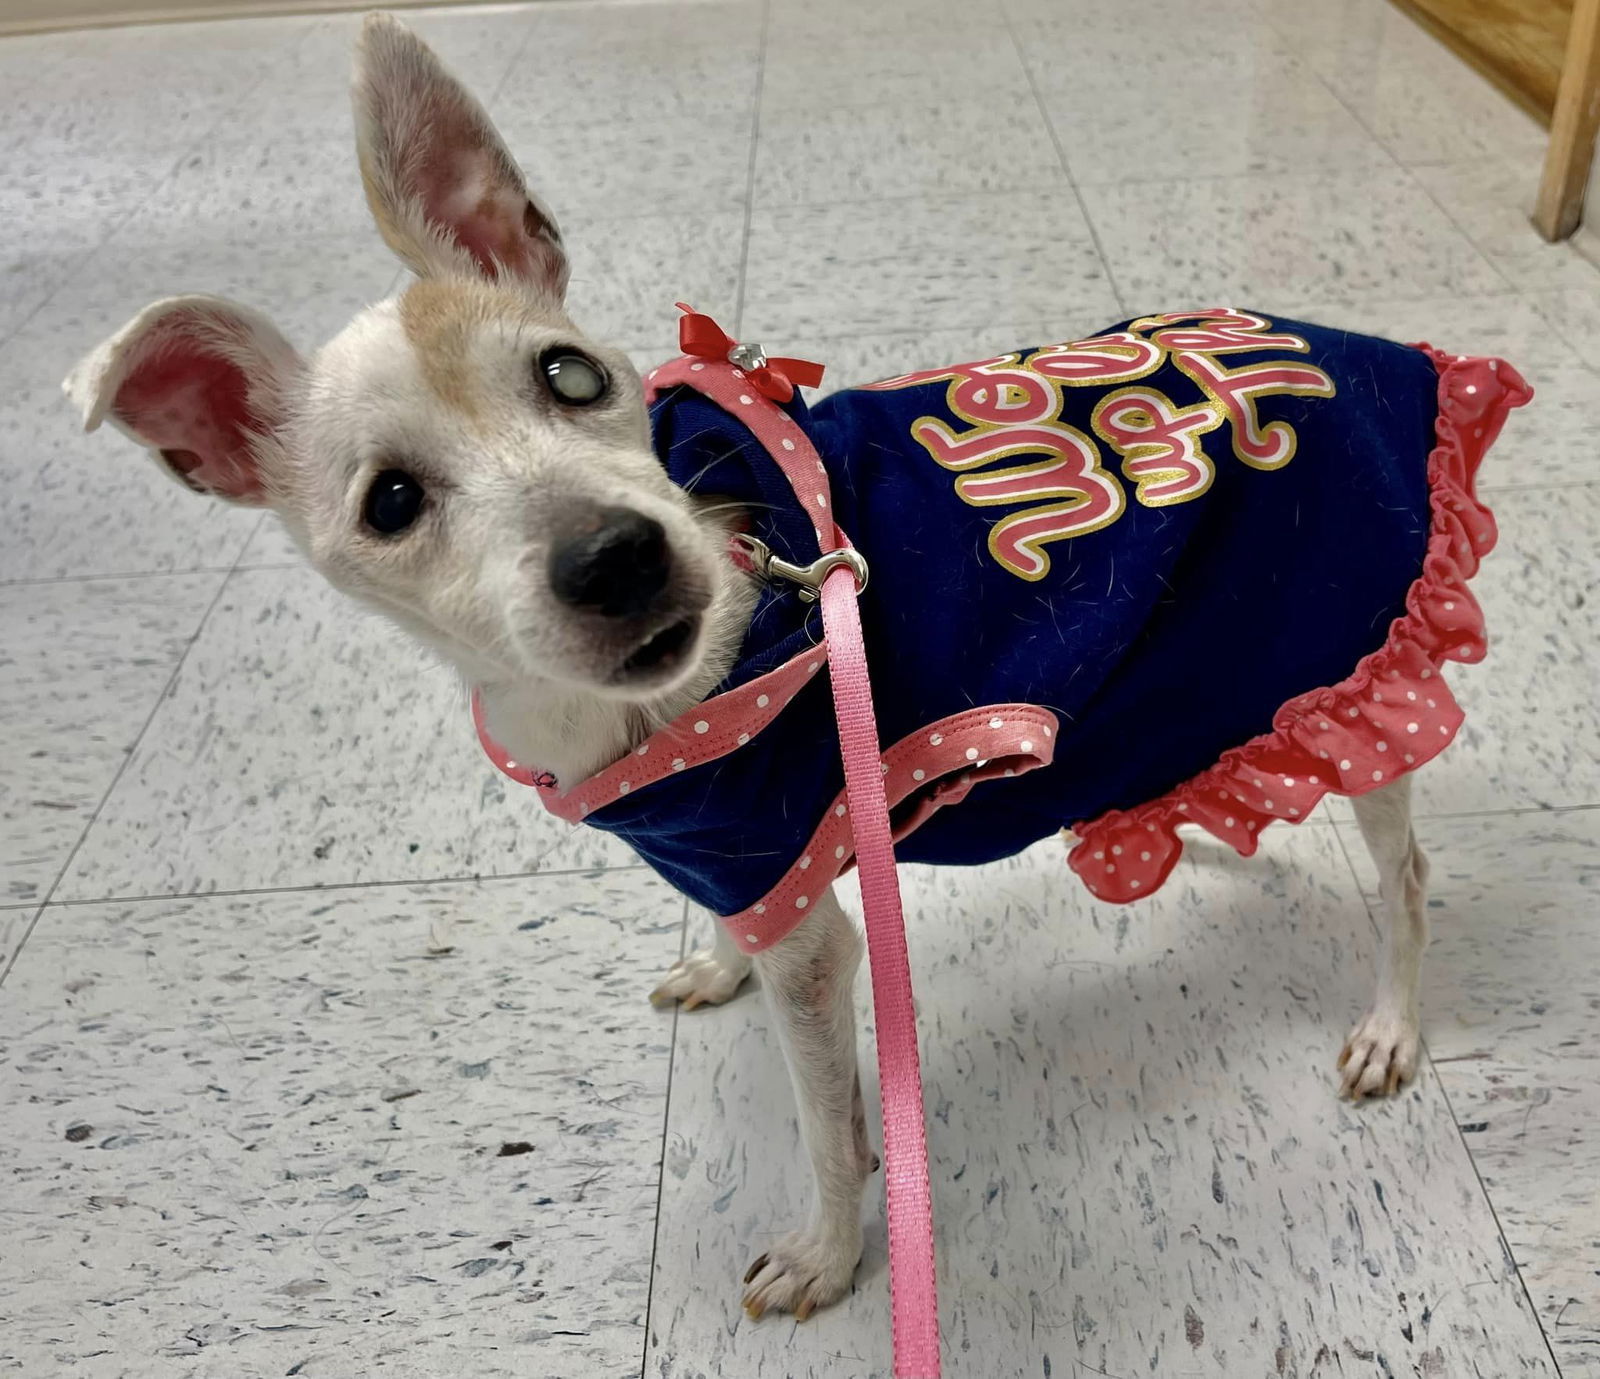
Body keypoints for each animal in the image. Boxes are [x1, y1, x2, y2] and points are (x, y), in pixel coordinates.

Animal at [68, 13, 1529, 1331]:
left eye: (572, 373)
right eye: (388, 502)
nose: (617, 556)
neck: (644, 704)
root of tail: (1368, 349)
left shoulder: (816, 931)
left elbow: (833, 1121)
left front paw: (830, 1253)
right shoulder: (742, 860)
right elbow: (744, 947)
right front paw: (714, 967)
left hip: (1350, 652)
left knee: (1404, 873)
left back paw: (1391, 1023)